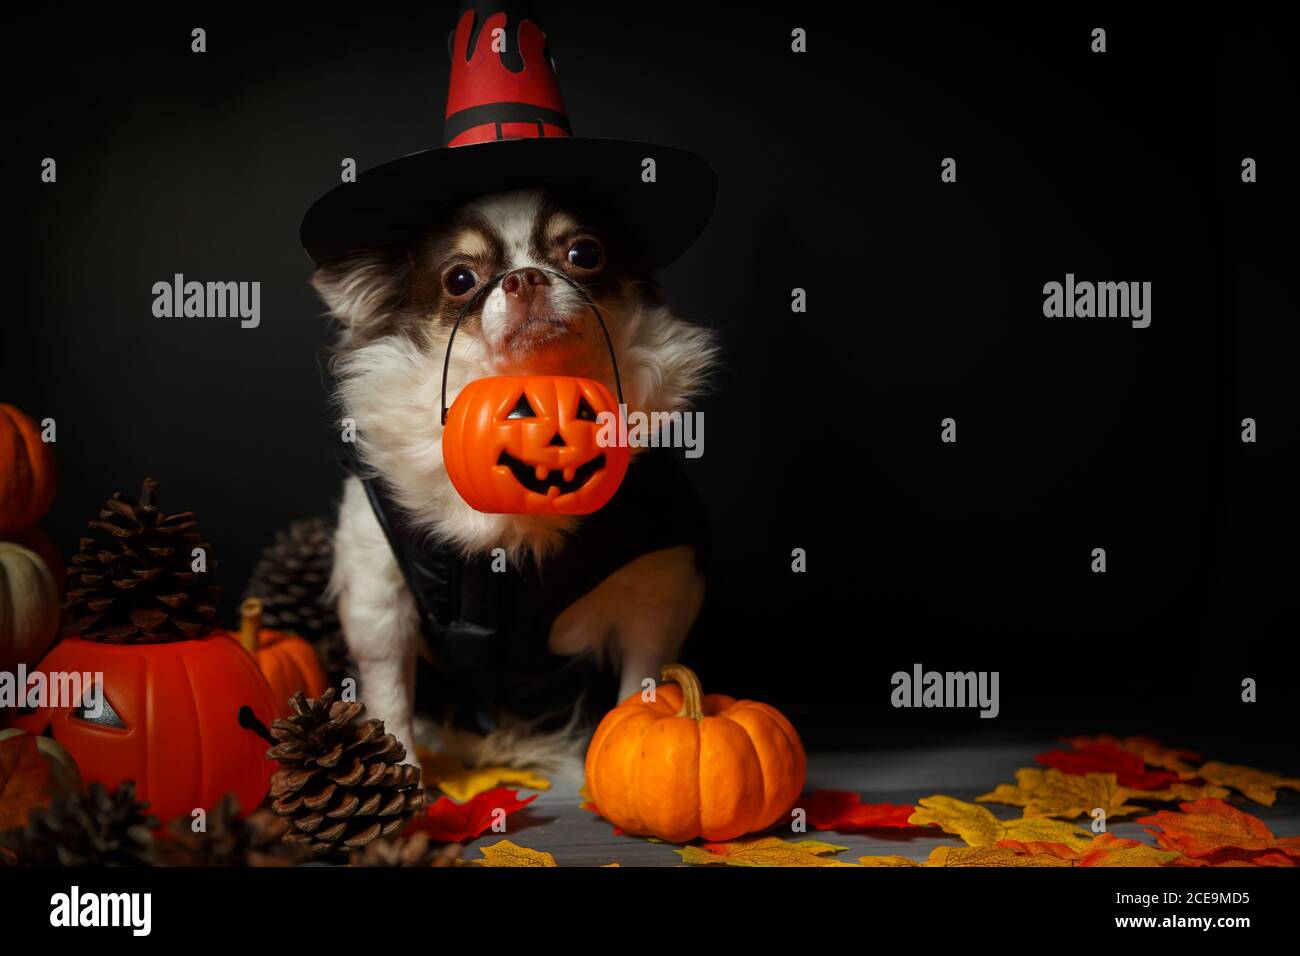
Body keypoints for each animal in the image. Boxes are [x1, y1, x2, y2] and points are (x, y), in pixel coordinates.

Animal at [314, 191, 722, 775]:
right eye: (460, 279)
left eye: (584, 253)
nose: (525, 278)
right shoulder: (378, 594)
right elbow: (390, 693)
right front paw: (403, 776)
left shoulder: (659, 593)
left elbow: (641, 685)